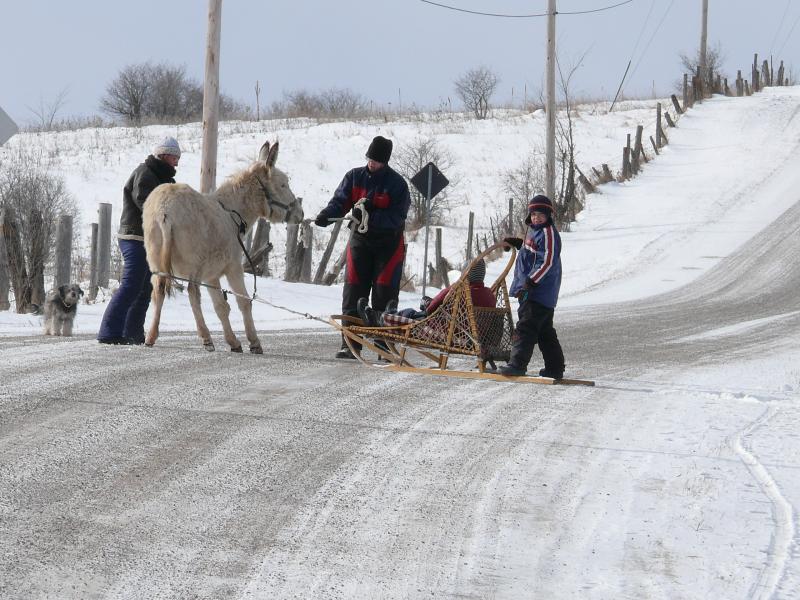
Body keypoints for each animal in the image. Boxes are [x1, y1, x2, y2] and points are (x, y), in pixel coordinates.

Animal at [143, 140, 303, 353]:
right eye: (283, 184)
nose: (300, 214)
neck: (233, 213)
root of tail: (164, 211)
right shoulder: (233, 267)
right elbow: (244, 302)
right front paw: (254, 342)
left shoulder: (211, 275)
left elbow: (221, 307)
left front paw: (233, 342)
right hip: (193, 263)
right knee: (193, 293)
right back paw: (206, 338)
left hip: (156, 261)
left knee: (158, 291)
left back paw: (151, 336)